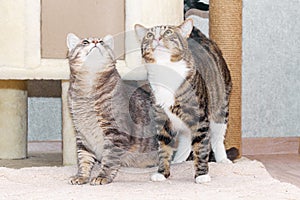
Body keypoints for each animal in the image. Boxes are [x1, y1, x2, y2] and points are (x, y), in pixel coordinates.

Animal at [66, 32, 158, 184]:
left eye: (102, 42)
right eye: (85, 42)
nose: (95, 41)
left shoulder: (116, 133)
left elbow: (109, 159)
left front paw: (102, 176)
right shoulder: (82, 134)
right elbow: (83, 158)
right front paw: (81, 176)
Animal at [135, 18, 232, 183]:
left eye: (168, 32)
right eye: (149, 35)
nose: (157, 38)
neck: (165, 72)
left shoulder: (200, 118)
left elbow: (201, 149)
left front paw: (202, 175)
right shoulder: (161, 118)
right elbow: (163, 148)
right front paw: (162, 173)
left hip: (220, 108)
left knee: (218, 138)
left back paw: (223, 160)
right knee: (186, 140)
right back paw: (179, 161)